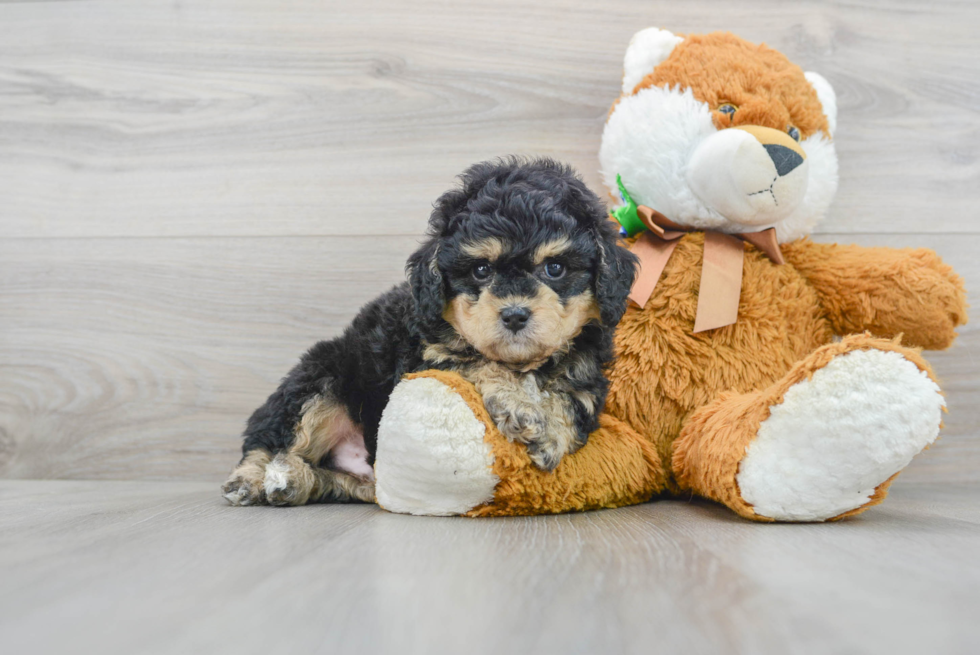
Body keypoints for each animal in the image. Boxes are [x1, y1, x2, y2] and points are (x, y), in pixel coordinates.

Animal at [220, 158, 644, 508]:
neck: (527, 364)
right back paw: (253, 479)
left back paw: (292, 481)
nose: (514, 315)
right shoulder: (429, 354)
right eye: (480, 271)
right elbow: (480, 361)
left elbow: (571, 401)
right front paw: (520, 405)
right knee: (269, 438)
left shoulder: (587, 376)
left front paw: (550, 431)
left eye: (554, 268)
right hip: (320, 378)